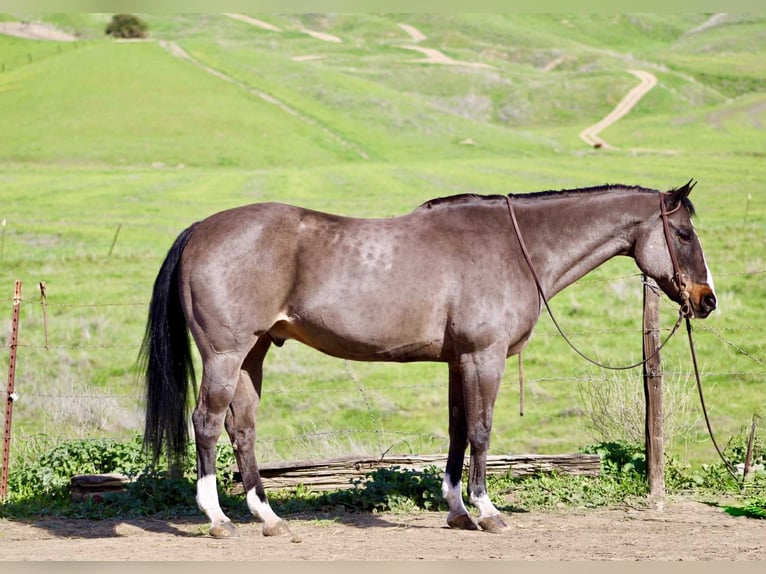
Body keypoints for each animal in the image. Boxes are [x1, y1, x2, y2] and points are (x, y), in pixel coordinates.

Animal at [140, 180, 716, 538]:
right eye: (684, 234)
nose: (706, 300)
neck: (515, 246)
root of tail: (201, 229)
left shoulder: (459, 362)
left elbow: (459, 432)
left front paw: (458, 511)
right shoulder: (484, 358)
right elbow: (482, 431)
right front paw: (488, 511)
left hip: (252, 354)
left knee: (242, 429)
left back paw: (268, 517)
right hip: (225, 354)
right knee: (207, 423)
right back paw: (218, 519)